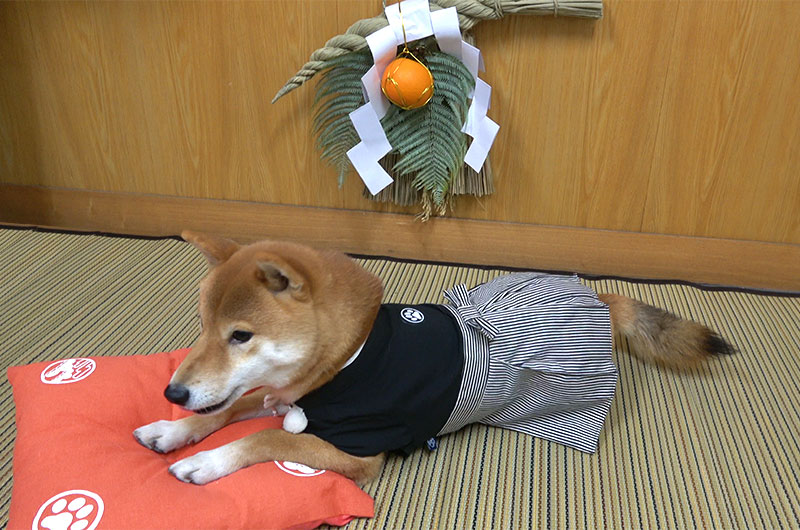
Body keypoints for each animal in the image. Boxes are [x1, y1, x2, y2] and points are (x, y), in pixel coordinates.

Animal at [134, 230, 736, 482]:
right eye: (202, 327)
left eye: (240, 336)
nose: (172, 391)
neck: (349, 360)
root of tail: (596, 299)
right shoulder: (280, 394)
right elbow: (234, 407)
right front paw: (175, 430)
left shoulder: (359, 451)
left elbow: (266, 438)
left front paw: (206, 462)